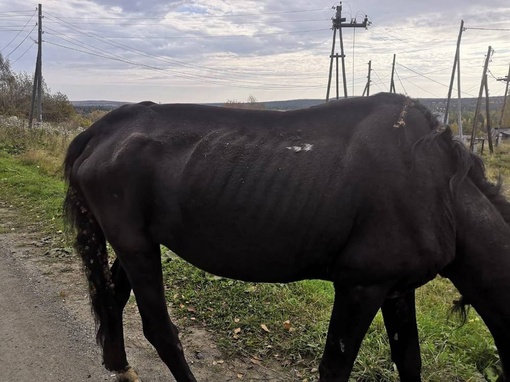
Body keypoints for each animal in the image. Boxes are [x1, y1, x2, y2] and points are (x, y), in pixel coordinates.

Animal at [61, 93, 508, 382]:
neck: (439, 191)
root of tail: (102, 129)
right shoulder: (361, 287)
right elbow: (335, 368)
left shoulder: (398, 289)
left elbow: (410, 361)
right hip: (135, 245)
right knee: (159, 329)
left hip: (135, 242)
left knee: (112, 297)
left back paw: (119, 364)